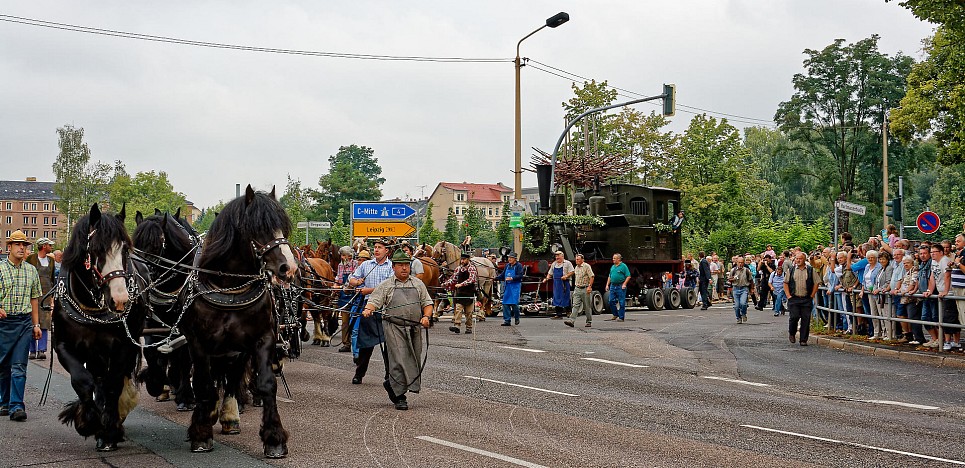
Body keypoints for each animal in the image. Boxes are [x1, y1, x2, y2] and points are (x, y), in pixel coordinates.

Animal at [53, 203, 149, 452]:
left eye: (124, 249)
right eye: (97, 249)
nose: (120, 300)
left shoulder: (123, 346)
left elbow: (113, 384)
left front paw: (109, 431)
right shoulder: (63, 345)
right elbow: (83, 381)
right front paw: (87, 421)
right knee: (96, 379)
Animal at [133, 209, 199, 414]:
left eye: (155, 245)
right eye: (134, 243)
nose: (140, 274)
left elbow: (184, 358)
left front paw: (186, 397)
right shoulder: (151, 321)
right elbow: (151, 352)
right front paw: (155, 382)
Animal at [183, 184, 296, 458]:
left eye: (283, 227)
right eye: (259, 227)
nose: (289, 268)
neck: (230, 289)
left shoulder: (262, 338)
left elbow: (266, 383)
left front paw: (274, 438)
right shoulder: (197, 342)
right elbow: (203, 384)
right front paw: (201, 432)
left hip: (237, 348)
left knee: (232, 377)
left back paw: (229, 416)